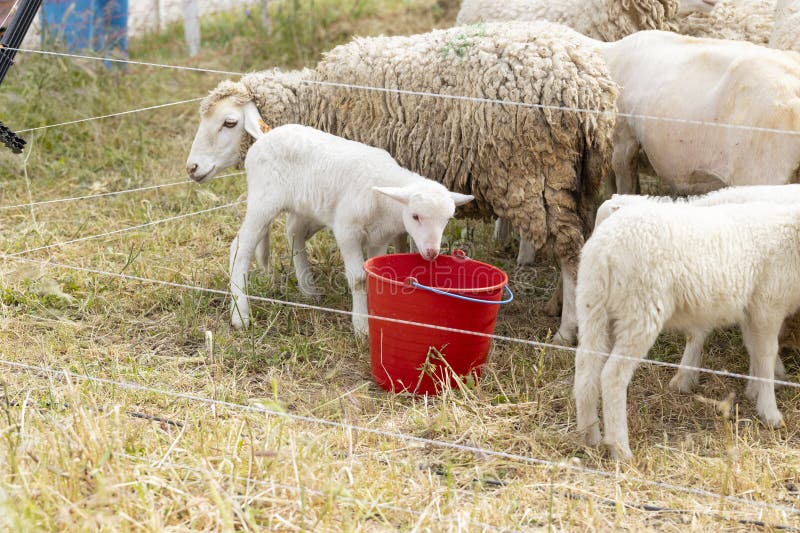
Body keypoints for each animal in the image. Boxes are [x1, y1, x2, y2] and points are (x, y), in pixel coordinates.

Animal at [190, 111, 472, 332]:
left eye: (447, 219)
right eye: (415, 216)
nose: (432, 253)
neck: (384, 198)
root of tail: (264, 138)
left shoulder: (379, 239)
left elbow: (372, 274)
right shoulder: (347, 230)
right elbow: (358, 279)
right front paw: (361, 327)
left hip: (302, 205)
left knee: (293, 233)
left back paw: (308, 289)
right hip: (263, 200)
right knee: (240, 247)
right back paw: (240, 315)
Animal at [572, 202, 796, 460]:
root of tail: (605, 249)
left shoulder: (751, 309)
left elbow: (754, 350)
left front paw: (755, 392)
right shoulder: (768, 303)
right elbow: (766, 354)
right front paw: (771, 412)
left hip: (593, 305)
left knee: (585, 366)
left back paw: (589, 437)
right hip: (639, 309)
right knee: (612, 375)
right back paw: (621, 450)